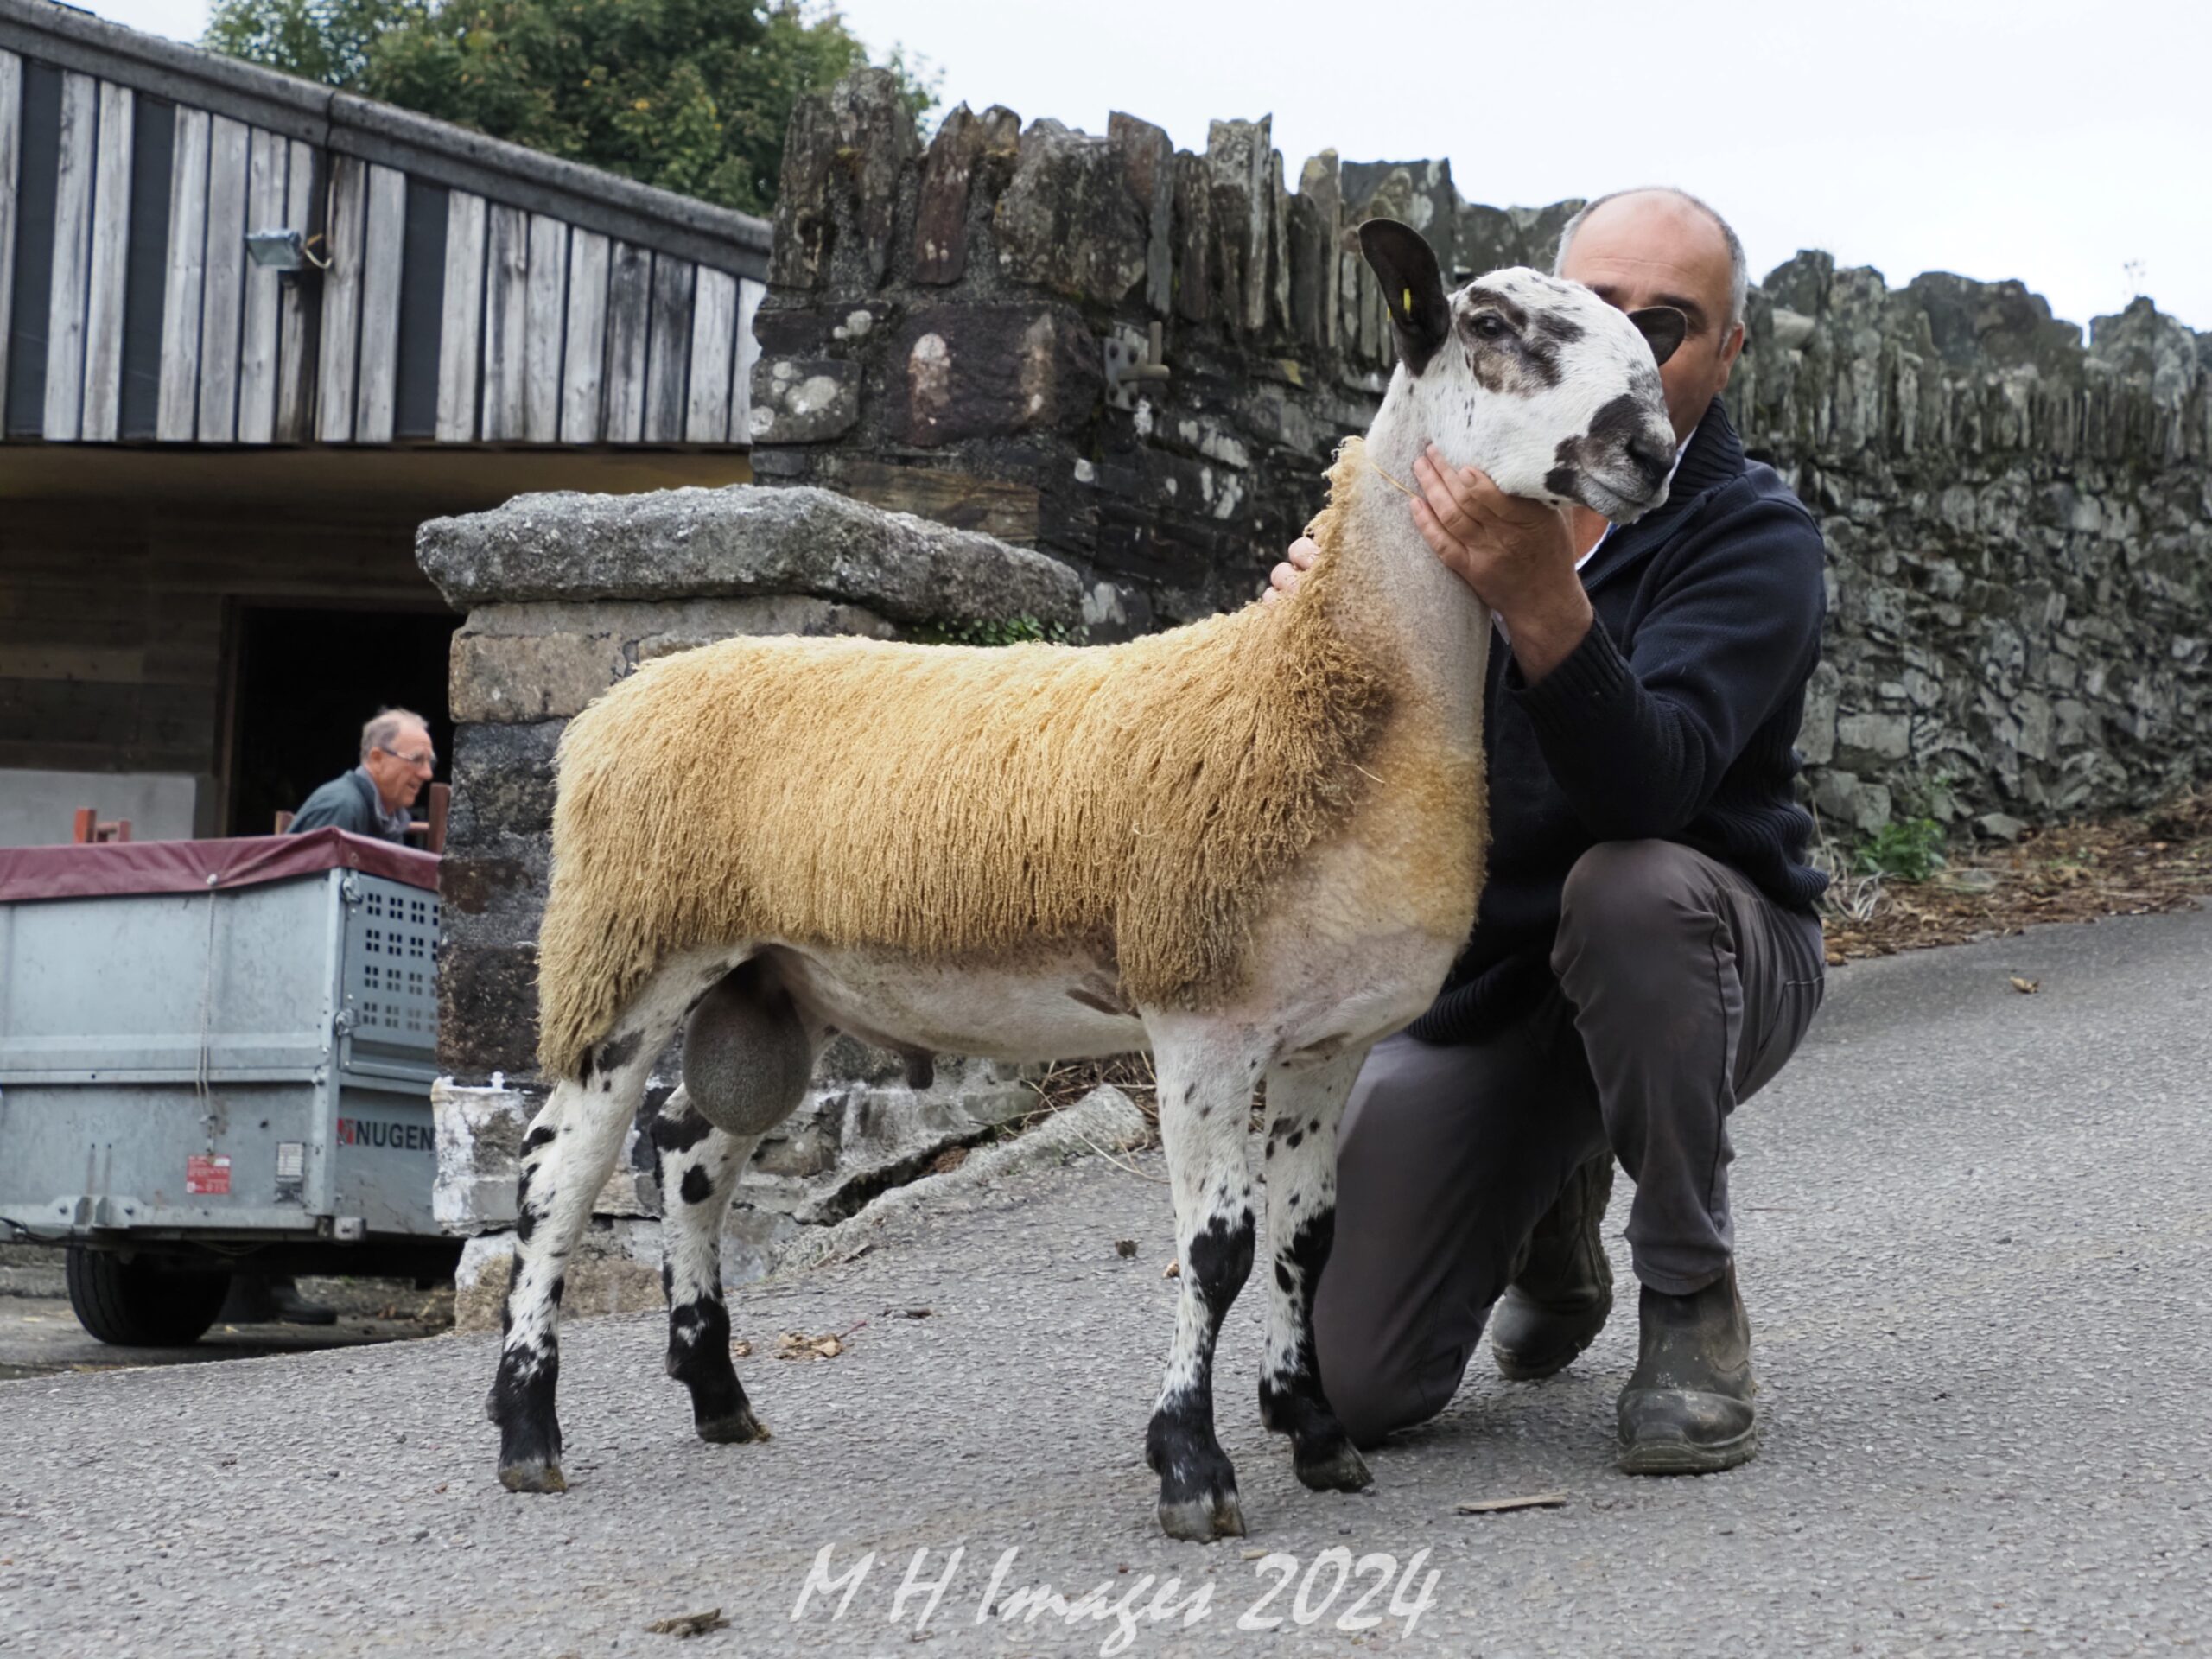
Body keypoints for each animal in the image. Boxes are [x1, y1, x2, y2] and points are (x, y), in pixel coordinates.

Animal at [488, 221, 1689, 1548]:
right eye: (1486, 326)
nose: (1650, 450)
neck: (1321, 687)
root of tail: (621, 695)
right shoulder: (1201, 1012)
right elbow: (1215, 1252)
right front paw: (1193, 1469)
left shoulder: (1333, 1037)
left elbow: (1308, 1244)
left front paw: (1317, 1435)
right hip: (628, 943)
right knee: (559, 1177)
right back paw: (528, 1431)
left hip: (767, 980)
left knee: (693, 1156)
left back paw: (717, 1397)